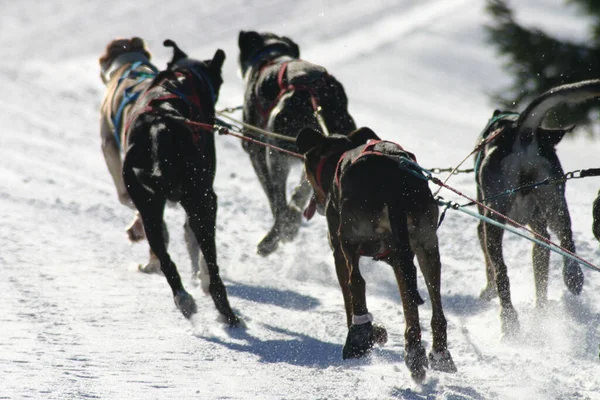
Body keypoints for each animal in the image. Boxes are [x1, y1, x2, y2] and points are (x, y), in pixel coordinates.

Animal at [296, 127, 454, 382]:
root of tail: (393, 179)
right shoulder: (400, 258)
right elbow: (408, 300)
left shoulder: (339, 251)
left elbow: (348, 293)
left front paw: (369, 331)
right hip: (425, 244)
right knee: (433, 302)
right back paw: (425, 353)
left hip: (349, 236)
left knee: (357, 282)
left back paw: (359, 337)